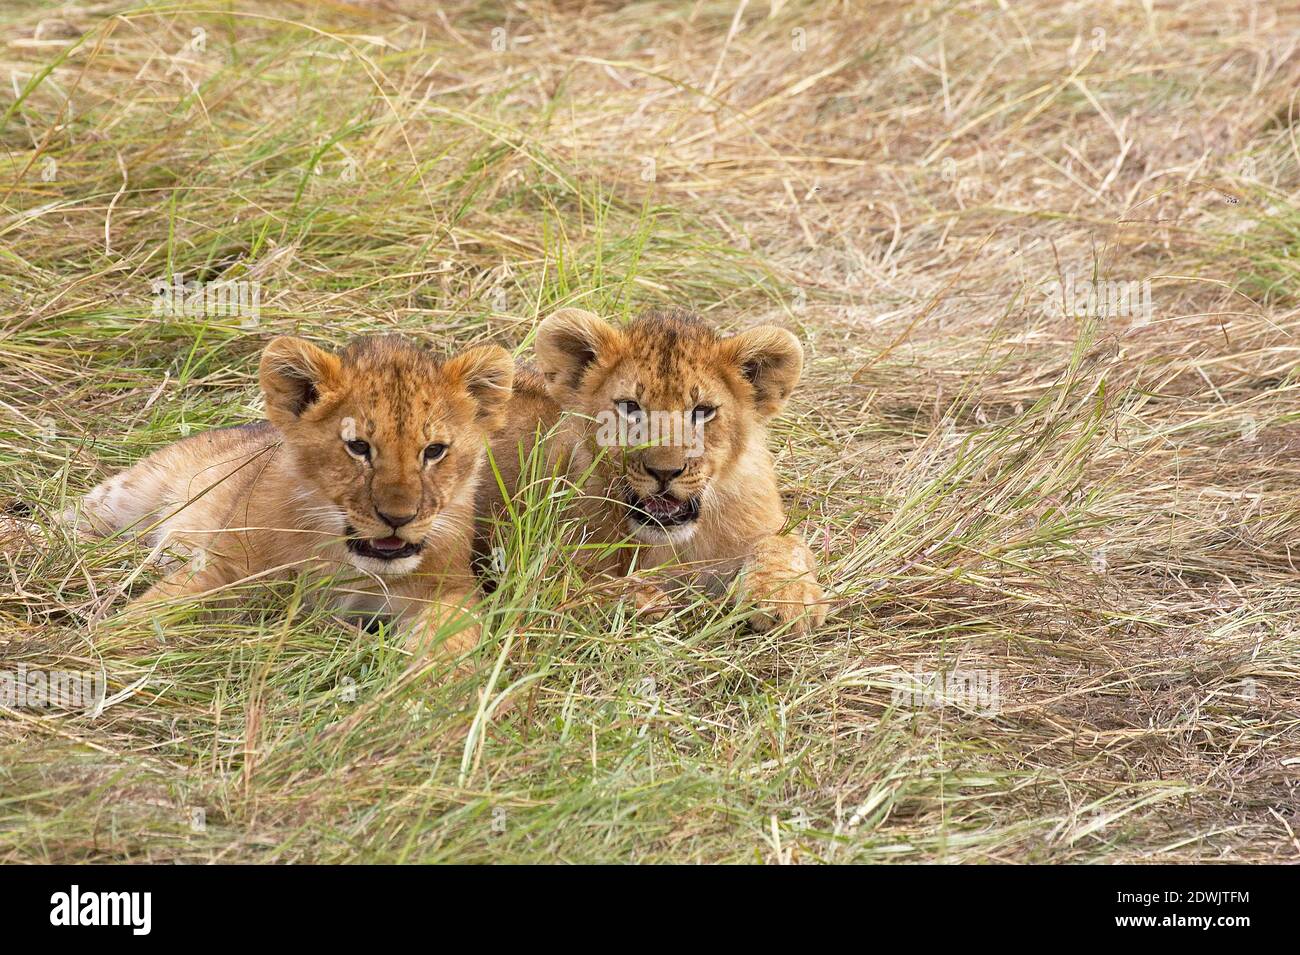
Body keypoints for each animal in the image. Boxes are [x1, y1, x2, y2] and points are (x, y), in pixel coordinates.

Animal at [70, 335, 514, 657]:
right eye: (358, 447)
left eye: (434, 451)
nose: (398, 518)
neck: (345, 562)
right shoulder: (226, 564)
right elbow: (163, 604)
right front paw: (105, 643)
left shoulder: (450, 586)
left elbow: (457, 629)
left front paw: (434, 679)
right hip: (132, 491)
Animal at [479, 307, 826, 633]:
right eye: (630, 407)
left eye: (702, 411)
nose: (665, 472)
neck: (672, 545)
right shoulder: (534, 553)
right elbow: (568, 581)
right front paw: (640, 600)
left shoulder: (761, 522)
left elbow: (784, 544)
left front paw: (785, 596)